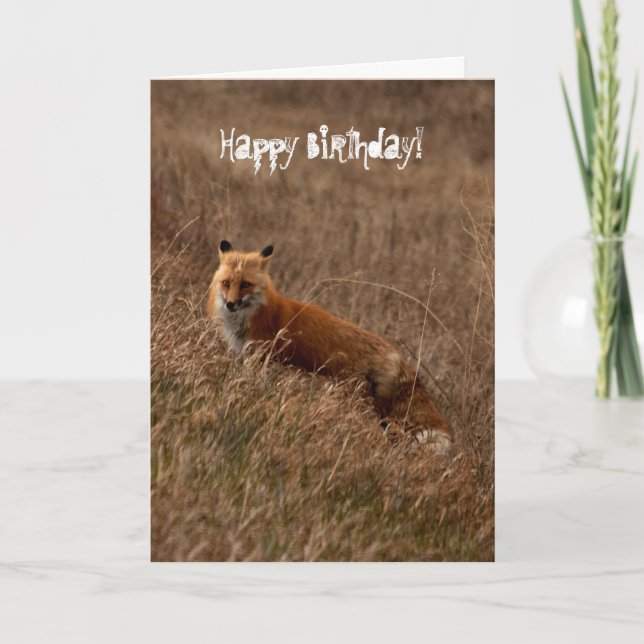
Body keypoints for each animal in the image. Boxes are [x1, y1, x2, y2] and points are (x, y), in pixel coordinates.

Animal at [207, 240, 453, 454]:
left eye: (245, 285)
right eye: (226, 283)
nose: (230, 304)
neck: (255, 315)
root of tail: (397, 356)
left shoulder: (260, 359)